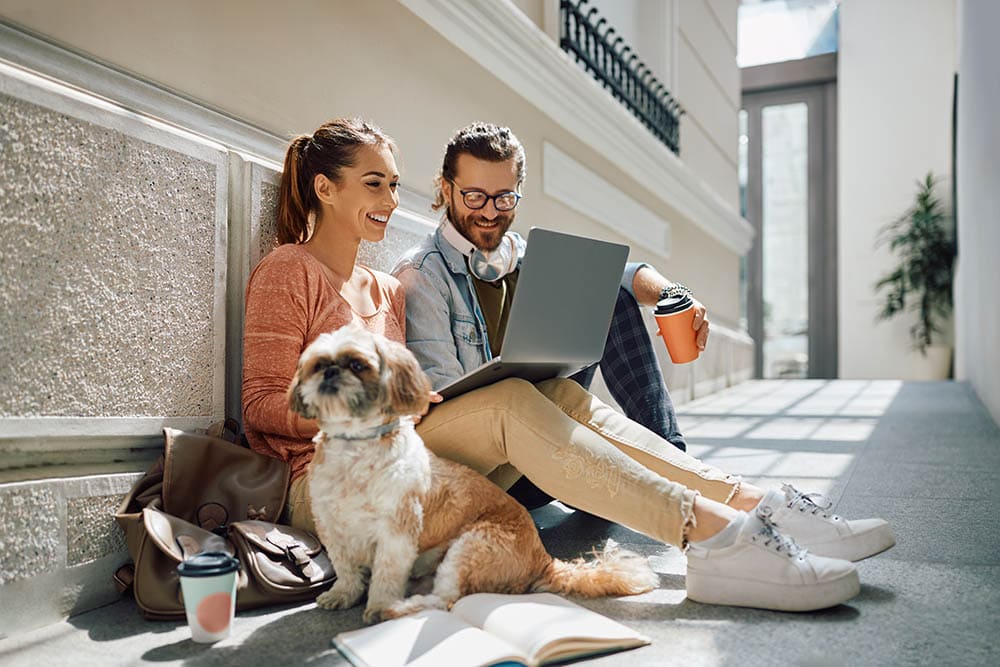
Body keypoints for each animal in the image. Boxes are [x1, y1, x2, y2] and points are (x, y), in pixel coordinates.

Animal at [288, 324, 656, 628]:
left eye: (357, 365)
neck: (355, 448)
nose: (330, 372)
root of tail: (543, 559)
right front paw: (343, 594)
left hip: (472, 545)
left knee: (445, 600)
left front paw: (377, 604)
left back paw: (396, 609)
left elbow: (386, 574)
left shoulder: (397, 533)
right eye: (318, 364)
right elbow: (346, 568)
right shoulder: (332, 525)